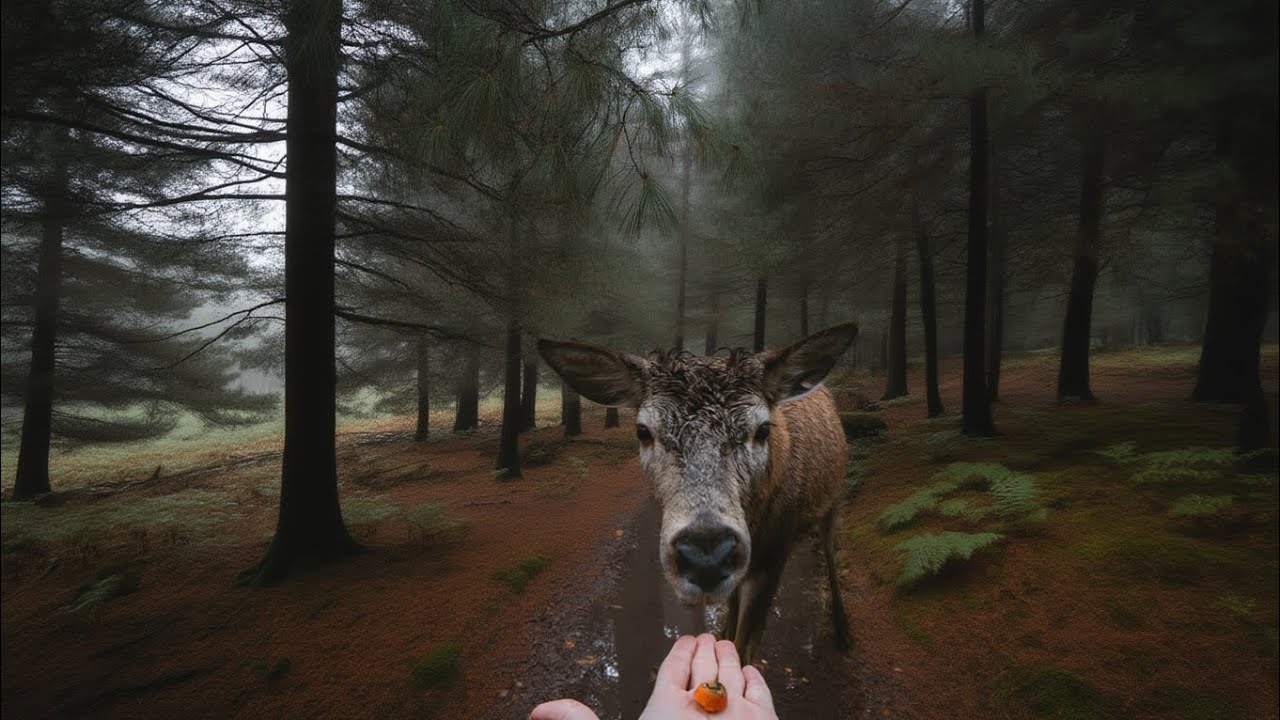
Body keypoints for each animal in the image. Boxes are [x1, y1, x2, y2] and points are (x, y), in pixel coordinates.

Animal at [538, 322, 859, 664]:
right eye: (643, 431)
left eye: (763, 429)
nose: (706, 556)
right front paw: (722, 634)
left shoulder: (775, 553)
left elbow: (745, 649)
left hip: (834, 499)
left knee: (829, 551)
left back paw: (842, 629)